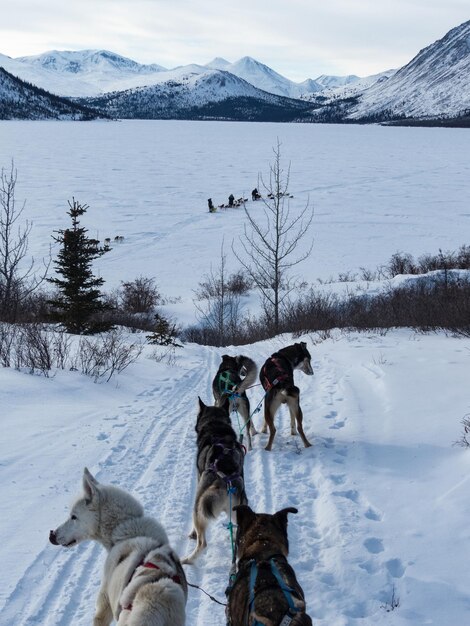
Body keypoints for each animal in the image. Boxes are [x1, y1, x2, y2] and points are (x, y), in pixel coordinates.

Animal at [182, 398, 248, 564]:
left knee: (202, 543)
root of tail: (225, 482)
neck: (216, 427)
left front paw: (192, 534)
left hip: (199, 505)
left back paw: (188, 559)